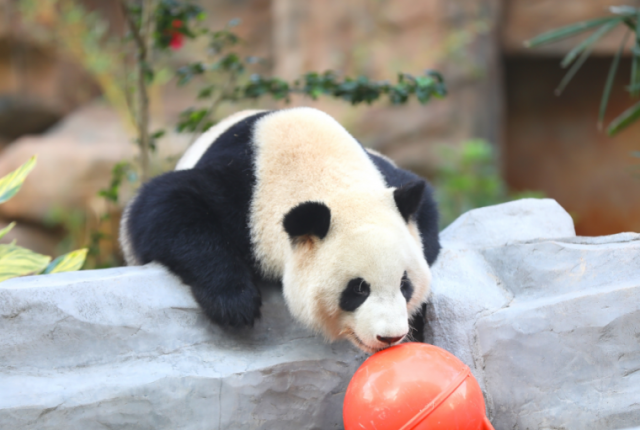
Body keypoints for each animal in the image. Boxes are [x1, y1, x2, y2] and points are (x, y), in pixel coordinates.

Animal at [120, 107, 440, 352]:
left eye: (405, 284)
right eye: (358, 289)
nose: (390, 337)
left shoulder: (386, 175)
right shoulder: (245, 189)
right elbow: (163, 203)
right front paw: (235, 303)